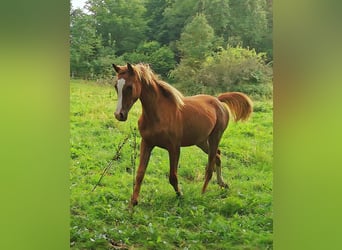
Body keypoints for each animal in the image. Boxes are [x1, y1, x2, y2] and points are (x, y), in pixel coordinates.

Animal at [111, 63, 251, 206]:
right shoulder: (147, 143)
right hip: (201, 141)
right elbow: (140, 174)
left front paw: (180, 195)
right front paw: (133, 203)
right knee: (217, 155)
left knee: (210, 166)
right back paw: (222, 184)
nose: (119, 115)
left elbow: (173, 176)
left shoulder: (174, 148)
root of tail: (218, 100)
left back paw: (202, 193)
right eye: (116, 86)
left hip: (215, 136)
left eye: (129, 87)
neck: (159, 114)